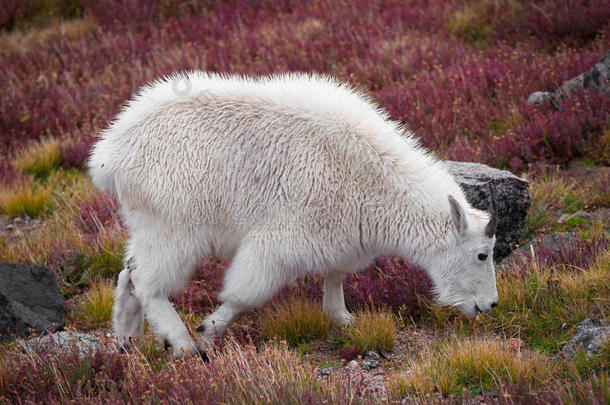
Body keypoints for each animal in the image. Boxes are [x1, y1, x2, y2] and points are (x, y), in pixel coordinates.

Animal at [88, 72, 496, 356]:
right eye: (482, 254)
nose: (490, 305)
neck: (373, 183)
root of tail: (111, 152)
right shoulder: (280, 241)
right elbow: (244, 294)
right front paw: (209, 331)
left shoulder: (339, 234)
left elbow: (335, 277)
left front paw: (343, 318)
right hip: (174, 226)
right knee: (149, 282)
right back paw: (182, 342)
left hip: (147, 223)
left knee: (129, 272)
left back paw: (126, 339)